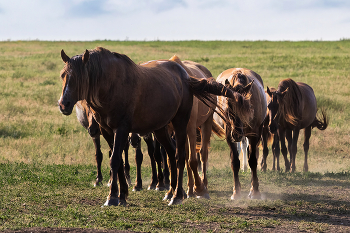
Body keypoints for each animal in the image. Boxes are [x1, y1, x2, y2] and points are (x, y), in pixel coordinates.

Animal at [58, 47, 249, 206]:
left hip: (180, 124)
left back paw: (178, 196)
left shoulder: (121, 129)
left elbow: (115, 160)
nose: (63, 104)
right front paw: (122, 195)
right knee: (170, 154)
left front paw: (112, 197)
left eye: (79, 78)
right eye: (63, 75)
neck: (112, 86)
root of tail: (185, 76)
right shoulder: (107, 131)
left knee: (180, 156)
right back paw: (171, 192)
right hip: (161, 129)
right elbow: (117, 160)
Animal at [212, 68, 266, 200]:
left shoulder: (254, 135)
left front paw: (255, 191)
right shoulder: (229, 135)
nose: (236, 134)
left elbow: (253, 161)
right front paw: (236, 192)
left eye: (247, 107)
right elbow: (235, 162)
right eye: (228, 107)